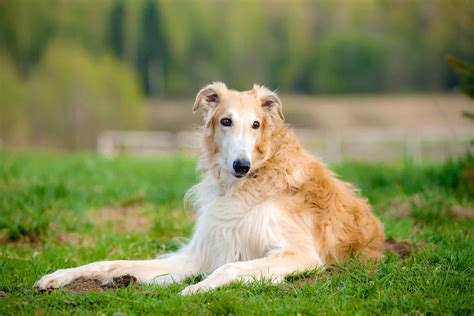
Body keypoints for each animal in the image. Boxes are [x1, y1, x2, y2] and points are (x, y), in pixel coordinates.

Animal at [36, 82, 386, 296]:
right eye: (225, 121)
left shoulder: (301, 254)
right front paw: (58, 276)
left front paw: (195, 289)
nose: (241, 165)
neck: (251, 180)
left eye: (256, 124)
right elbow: (106, 263)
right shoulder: (199, 254)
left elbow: (230, 267)